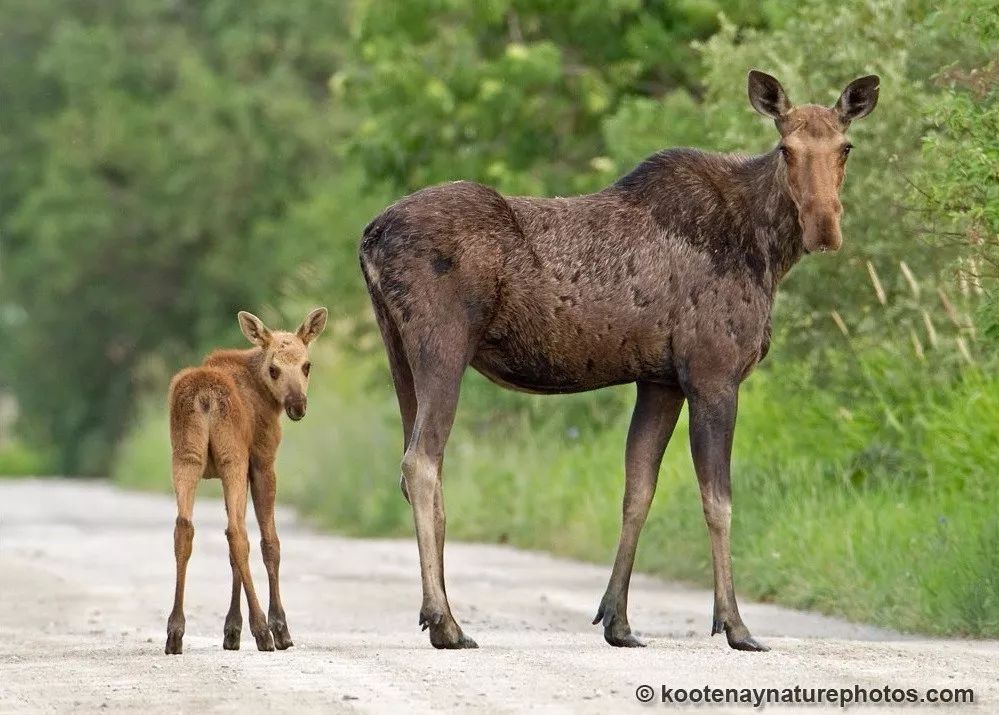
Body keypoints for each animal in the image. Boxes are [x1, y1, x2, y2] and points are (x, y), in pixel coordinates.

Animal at [164, 308, 328, 656]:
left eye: (306, 365)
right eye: (274, 369)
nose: (297, 405)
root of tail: (205, 397)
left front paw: (231, 629)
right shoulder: (263, 459)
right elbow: (270, 543)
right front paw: (277, 627)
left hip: (185, 456)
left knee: (186, 528)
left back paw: (175, 631)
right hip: (233, 457)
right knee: (237, 533)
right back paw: (264, 630)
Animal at [362, 71, 884, 648]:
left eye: (846, 147)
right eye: (786, 148)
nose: (824, 227)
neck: (770, 254)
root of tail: (369, 238)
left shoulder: (661, 381)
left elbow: (638, 492)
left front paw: (618, 620)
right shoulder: (713, 374)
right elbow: (718, 500)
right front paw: (735, 624)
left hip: (398, 351)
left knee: (417, 466)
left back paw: (440, 616)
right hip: (443, 346)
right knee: (422, 461)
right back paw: (447, 622)